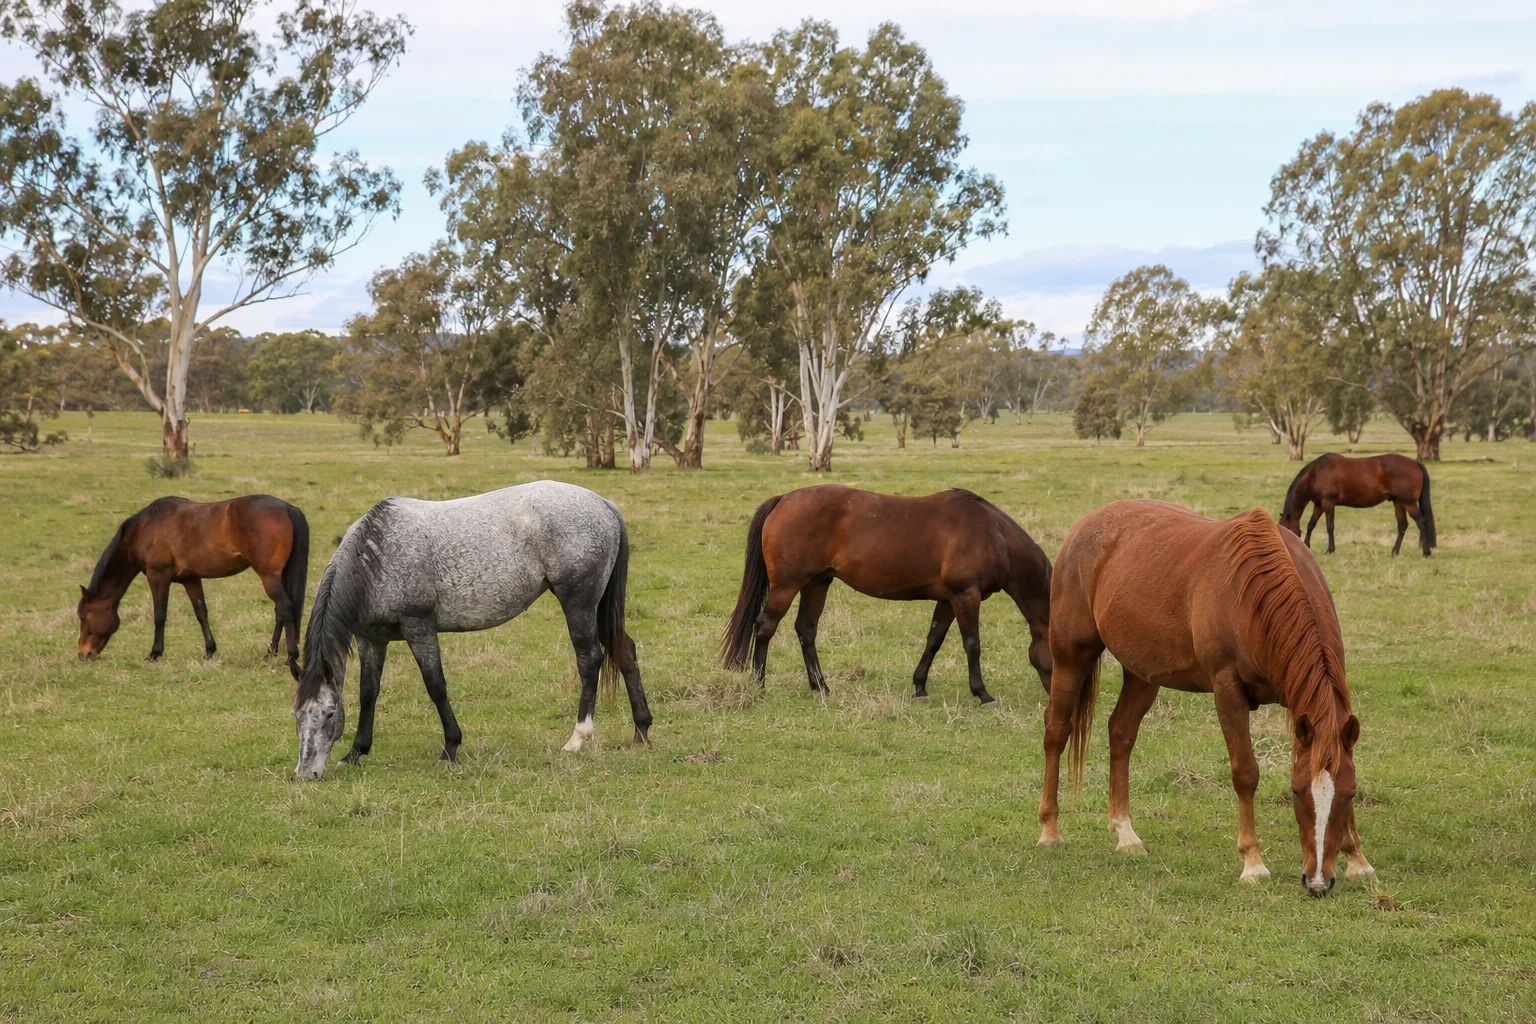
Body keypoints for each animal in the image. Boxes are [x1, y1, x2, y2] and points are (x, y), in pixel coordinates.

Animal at [77, 495, 309, 677]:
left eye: (84, 617)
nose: (83, 654)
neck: (146, 527)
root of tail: (287, 508)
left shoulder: (158, 576)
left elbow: (159, 615)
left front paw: (154, 653)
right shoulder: (191, 579)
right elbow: (201, 613)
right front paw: (209, 651)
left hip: (268, 576)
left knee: (285, 608)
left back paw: (291, 657)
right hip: (280, 575)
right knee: (281, 612)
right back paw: (270, 653)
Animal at [292, 480, 651, 781]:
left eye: (329, 715)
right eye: (296, 716)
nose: (306, 774)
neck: (377, 557)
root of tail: (603, 503)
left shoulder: (419, 627)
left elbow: (435, 686)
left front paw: (451, 746)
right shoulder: (372, 639)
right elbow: (369, 692)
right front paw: (355, 752)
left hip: (579, 604)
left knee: (590, 661)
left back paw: (577, 738)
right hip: (599, 608)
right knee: (625, 652)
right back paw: (642, 730)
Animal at [719, 486, 1052, 704]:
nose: (1056, 697)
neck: (992, 535)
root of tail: (783, 500)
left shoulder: (947, 600)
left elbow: (934, 640)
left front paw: (920, 687)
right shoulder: (965, 596)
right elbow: (972, 644)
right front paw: (982, 693)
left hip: (817, 583)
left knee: (806, 629)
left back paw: (821, 687)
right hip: (787, 586)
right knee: (765, 627)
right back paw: (759, 685)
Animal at [1036, 501, 1375, 896]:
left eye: (1350, 795)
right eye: (1294, 791)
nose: (1318, 881)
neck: (1257, 597)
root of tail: (1086, 525)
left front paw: (1357, 858)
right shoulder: (1228, 691)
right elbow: (1245, 773)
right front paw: (1252, 863)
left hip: (1142, 674)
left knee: (1120, 733)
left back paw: (1126, 833)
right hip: (1071, 657)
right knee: (1057, 732)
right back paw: (1050, 830)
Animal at [1279, 452, 1436, 557]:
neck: (1316, 473)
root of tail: (1415, 463)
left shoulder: (1328, 503)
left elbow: (1329, 526)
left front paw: (1330, 550)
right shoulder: (1319, 504)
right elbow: (1311, 524)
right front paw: (1307, 546)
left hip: (1409, 503)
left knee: (1422, 523)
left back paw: (1426, 552)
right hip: (1399, 503)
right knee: (1402, 525)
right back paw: (1394, 552)